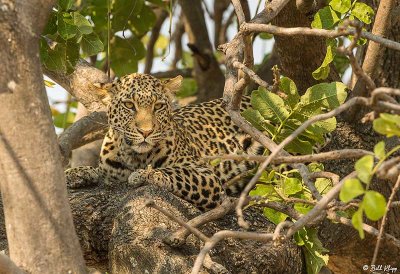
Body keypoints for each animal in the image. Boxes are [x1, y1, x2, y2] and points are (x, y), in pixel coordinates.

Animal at [65, 72, 266, 210]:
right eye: (129, 105)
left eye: (158, 106)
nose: (146, 131)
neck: (133, 156)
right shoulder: (110, 172)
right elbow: (99, 171)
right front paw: (77, 172)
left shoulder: (206, 175)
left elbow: (176, 172)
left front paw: (145, 174)